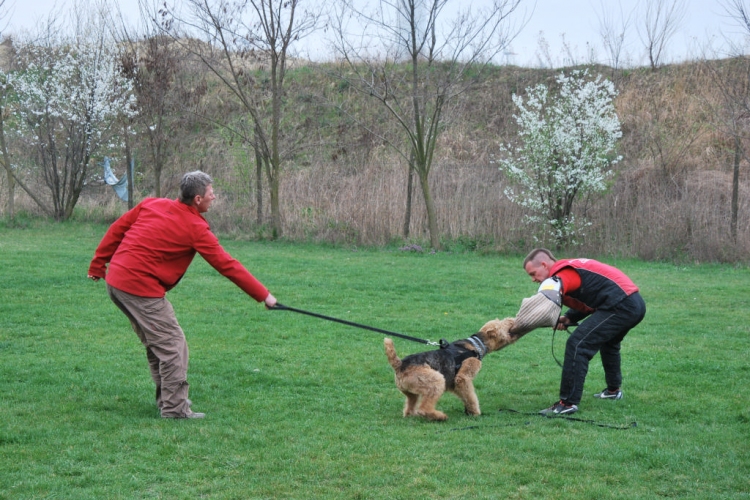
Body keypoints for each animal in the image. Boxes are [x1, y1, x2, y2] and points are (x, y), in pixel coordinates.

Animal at [384, 318, 520, 420]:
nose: (512, 320)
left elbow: (466, 396)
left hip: (411, 392)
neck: (477, 344)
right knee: (424, 408)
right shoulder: (463, 378)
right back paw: (440, 416)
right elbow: (471, 396)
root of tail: (400, 364)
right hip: (437, 381)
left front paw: (469, 410)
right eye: (503, 324)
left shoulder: (454, 384)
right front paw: (475, 412)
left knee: (409, 407)